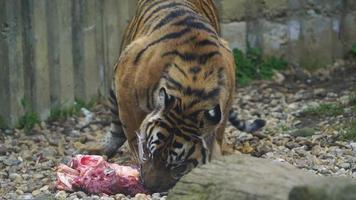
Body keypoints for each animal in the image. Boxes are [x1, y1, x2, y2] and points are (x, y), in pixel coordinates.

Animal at [92, 0, 264, 191]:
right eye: (150, 152)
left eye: (178, 166)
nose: (150, 187)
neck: (191, 94)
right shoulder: (127, 94)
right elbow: (133, 133)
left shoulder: (223, 107)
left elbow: (216, 137)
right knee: (116, 125)